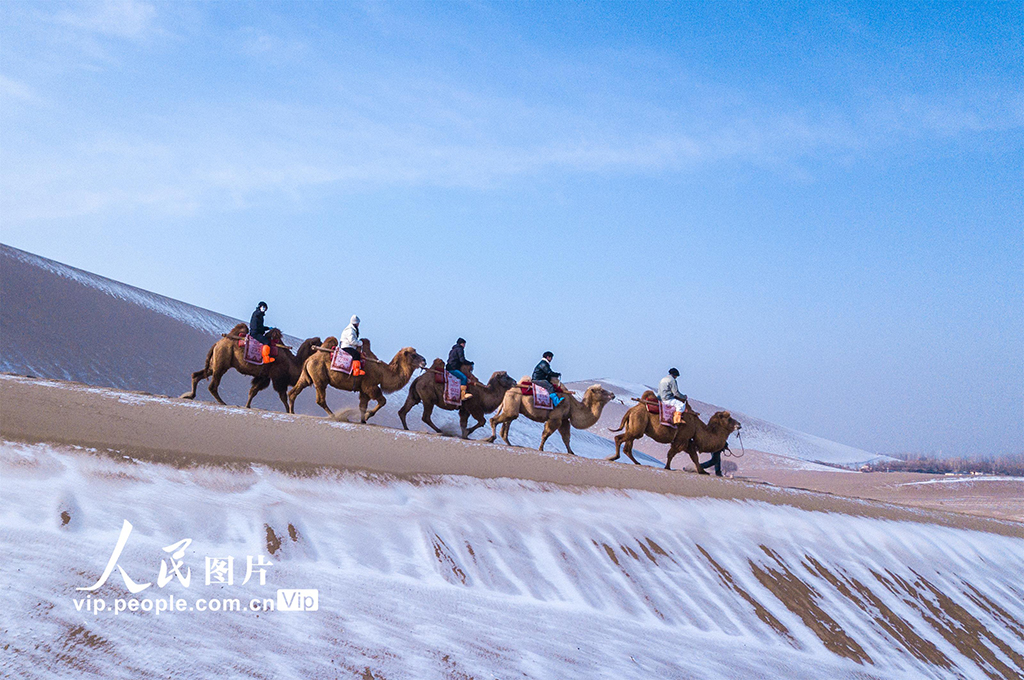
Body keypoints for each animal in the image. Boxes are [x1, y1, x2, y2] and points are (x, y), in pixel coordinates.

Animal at [178, 323, 317, 409]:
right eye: (318, 343)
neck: (291, 362)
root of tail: (217, 343)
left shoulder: (264, 377)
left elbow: (253, 391)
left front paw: (247, 406)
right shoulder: (278, 377)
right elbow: (282, 396)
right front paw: (289, 411)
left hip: (215, 362)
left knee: (197, 375)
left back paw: (189, 395)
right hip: (222, 360)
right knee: (213, 385)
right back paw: (222, 402)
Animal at [286, 337, 425, 421]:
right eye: (414, 355)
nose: (424, 361)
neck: (383, 372)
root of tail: (309, 359)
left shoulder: (363, 390)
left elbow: (362, 406)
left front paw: (363, 421)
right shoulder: (370, 386)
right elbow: (382, 401)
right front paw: (368, 416)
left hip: (307, 375)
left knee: (294, 391)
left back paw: (292, 412)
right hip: (320, 378)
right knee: (320, 399)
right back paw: (337, 417)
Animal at [481, 383, 610, 456]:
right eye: (602, 391)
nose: (612, 394)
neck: (573, 406)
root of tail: (507, 391)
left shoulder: (564, 420)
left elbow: (566, 438)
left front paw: (571, 452)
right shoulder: (555, 418)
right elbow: (546, 434)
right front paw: (540, 448)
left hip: (512, 405)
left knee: (508, 421)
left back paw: (508, 443)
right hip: (513, 401)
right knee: (495, 420)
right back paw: (490, 438)